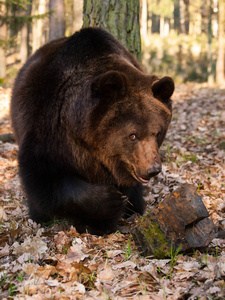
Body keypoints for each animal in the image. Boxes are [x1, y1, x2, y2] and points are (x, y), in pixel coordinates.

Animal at [10, 27, 175, 234]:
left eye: (157, 132)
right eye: (133, 135)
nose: (152, 169)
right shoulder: (50, 130)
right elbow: (44, 178)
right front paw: (109, 202)